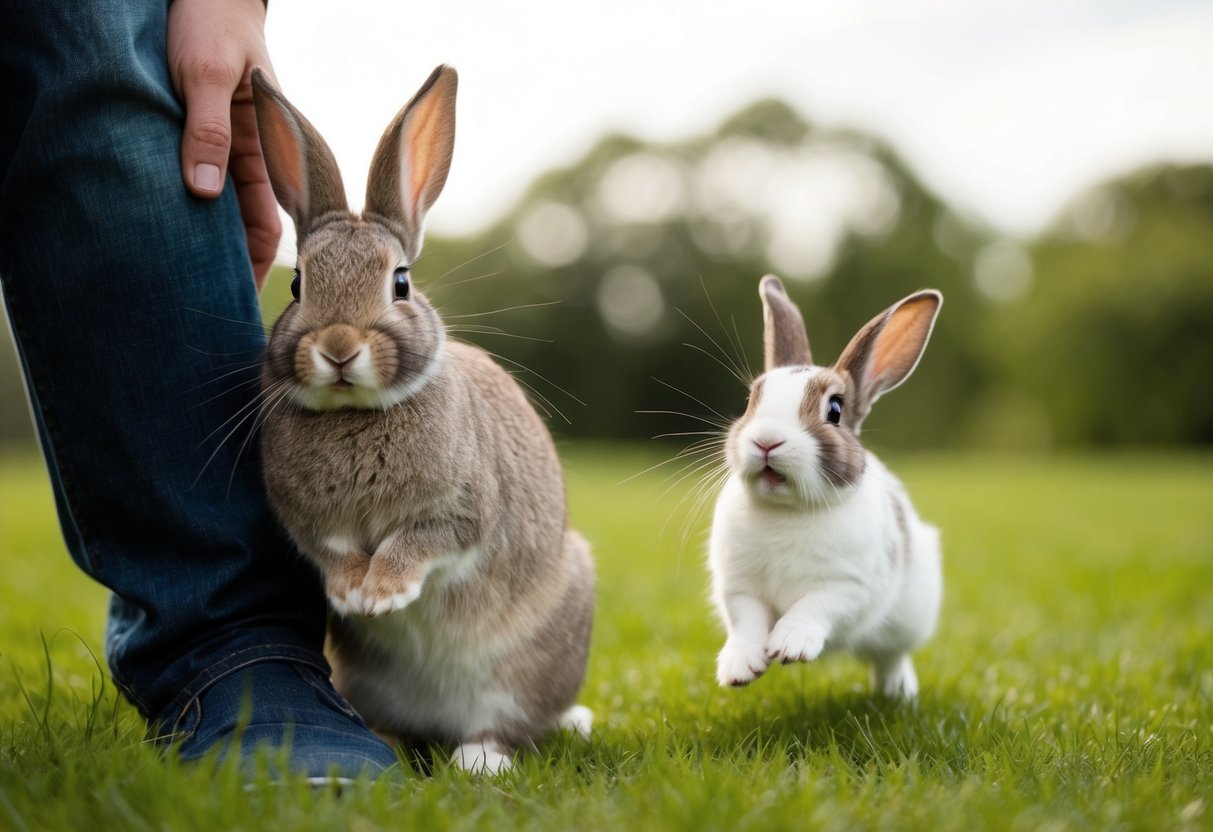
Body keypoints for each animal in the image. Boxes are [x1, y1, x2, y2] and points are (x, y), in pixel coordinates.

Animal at [249, 65, 595, 774]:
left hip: (522, 668)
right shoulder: (310, 524)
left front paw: (383, 592)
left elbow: (420, 540)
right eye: (297, 285)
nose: (339, 347)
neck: (356, 413)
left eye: (401, 283)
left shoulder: (461, 511)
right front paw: (352, 592)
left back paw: (483, 759)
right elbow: (333, 552)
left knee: (506, 724)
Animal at [708, 275, 942, 700]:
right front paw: (740, 669)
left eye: (834, 410)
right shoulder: (739, 587)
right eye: (751, 400)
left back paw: (899, 692)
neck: (787, 511)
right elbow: (747, 622)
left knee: (891, 655)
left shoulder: (848, 586)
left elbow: (813, 607)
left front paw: (790, 646)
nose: (766, 441)